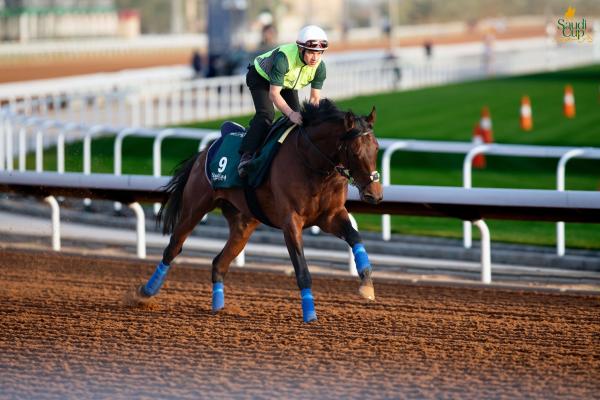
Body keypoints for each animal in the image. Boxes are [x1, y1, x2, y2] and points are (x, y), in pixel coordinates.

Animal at [134, 99, 382, 322]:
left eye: (377, 148)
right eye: (355, 151)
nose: (375, 194)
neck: (312, 163)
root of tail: (204, 152)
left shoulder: (331, 216)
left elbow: (355, 237)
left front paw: (367, 284)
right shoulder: (291, 221)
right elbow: (302, 270)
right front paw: (310, 315)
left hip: (244, 223)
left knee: (219, 263)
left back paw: (219, 308)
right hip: (194, 208)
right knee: (173, 248)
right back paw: (146, 292)